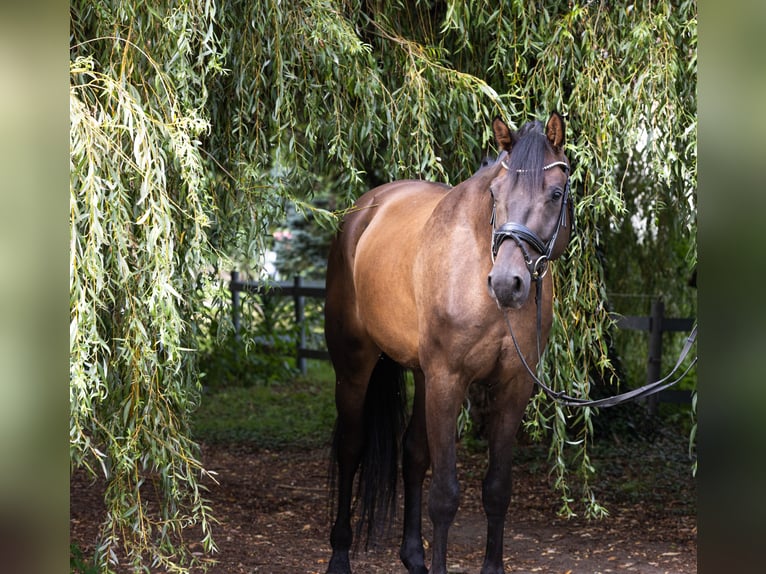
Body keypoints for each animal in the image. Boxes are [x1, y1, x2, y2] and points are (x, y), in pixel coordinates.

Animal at [326, 113, 576, 574]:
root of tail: (364, 210)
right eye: (495, 193)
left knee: (412, 455)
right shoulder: (448, 380)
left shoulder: (513, 387)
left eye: (554, 193)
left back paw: (413, 558)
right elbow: (444, 495)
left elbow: (496, 489)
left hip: (423, 376)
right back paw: (339, 556)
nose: (507, 283)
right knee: (351, 449)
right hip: (354, 367)